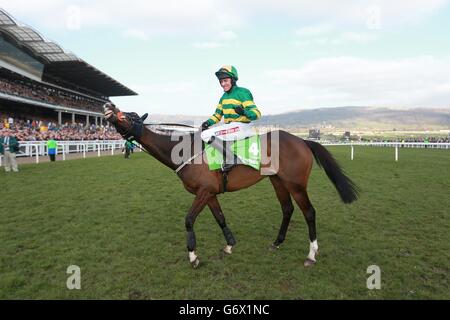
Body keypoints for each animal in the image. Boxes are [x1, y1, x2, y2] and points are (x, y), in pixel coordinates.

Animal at [103, 104, 358, 268]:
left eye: (128, 114)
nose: (107, 106)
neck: (185, 151)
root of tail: (302, 140)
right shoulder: (209, 193)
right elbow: (220, 218)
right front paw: (229, 245)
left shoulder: (203, 192)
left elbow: (188, 220)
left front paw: (193, 257)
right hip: (278, 181)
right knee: (287, 209)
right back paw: (276, 243)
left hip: (296, 184)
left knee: (309, 212)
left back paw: (311, 255)